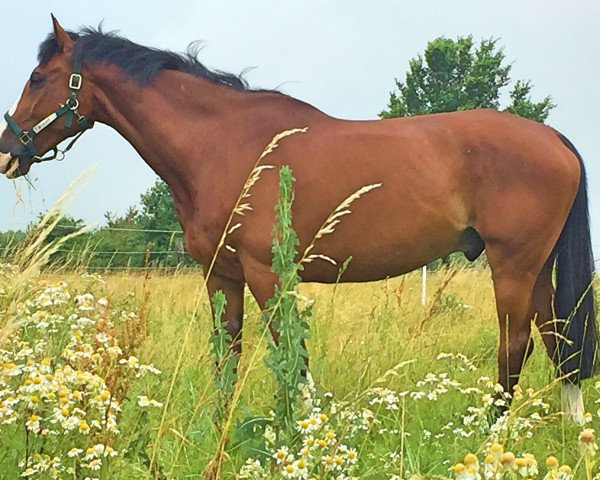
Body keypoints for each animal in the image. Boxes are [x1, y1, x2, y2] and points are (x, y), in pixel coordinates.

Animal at [0, 15, 596, 420]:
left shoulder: (267, 274)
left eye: (39, 78)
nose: (8, 150)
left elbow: (293, 356)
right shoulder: (221, 276)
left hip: (513, 266)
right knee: (559, 340)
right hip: (535, 270)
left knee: (517, 346)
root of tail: (556, 139)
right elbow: (228, 356)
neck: (225, 146)